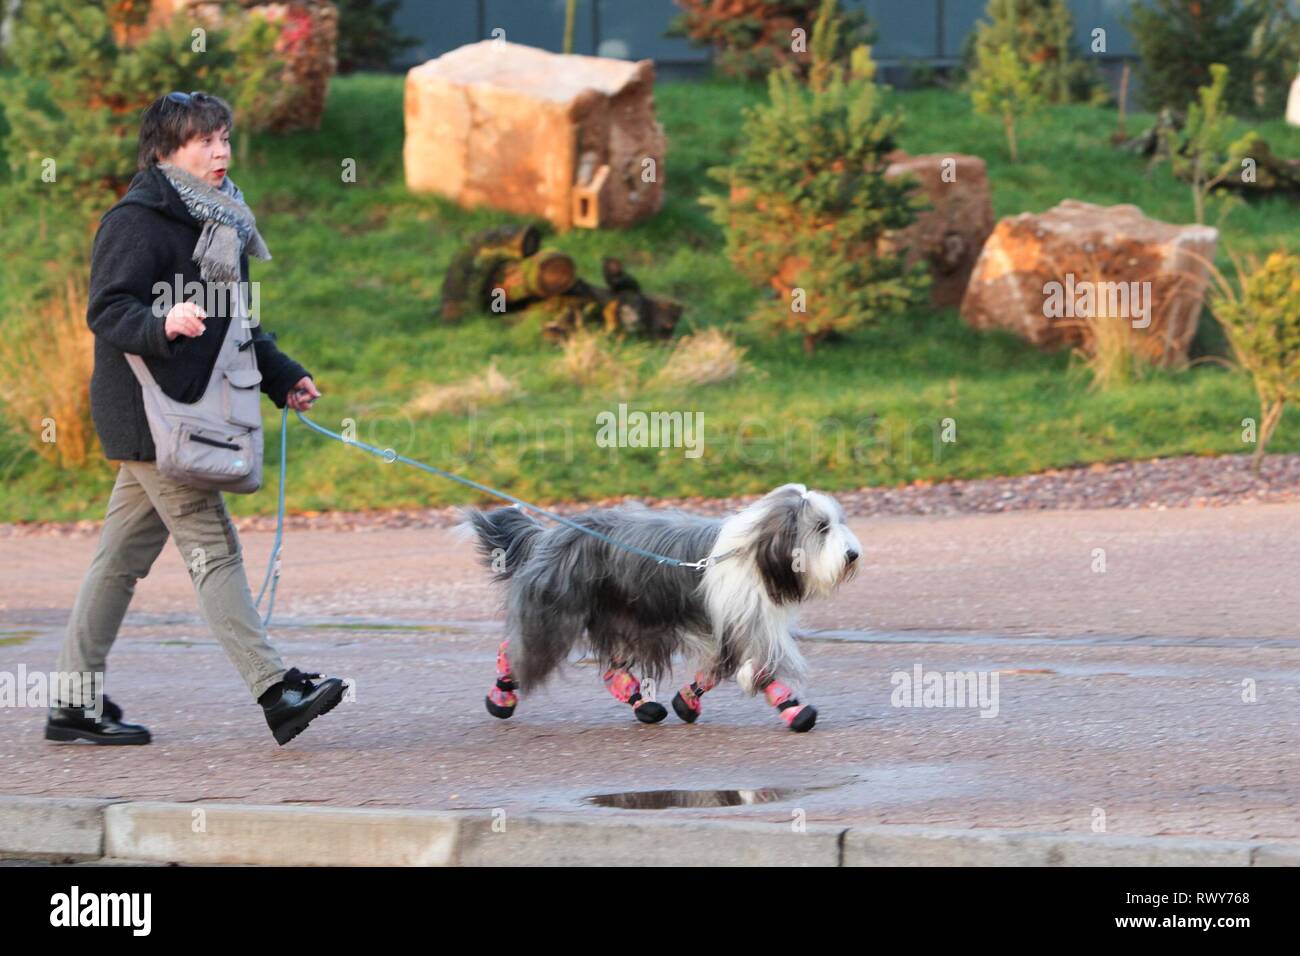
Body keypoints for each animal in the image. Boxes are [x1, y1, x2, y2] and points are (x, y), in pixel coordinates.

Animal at [462, 481, 857, 738]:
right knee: (518, 648)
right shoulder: (741, 620)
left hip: (620, 615)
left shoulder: (731, 624)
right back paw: (502, 696)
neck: (755, 553)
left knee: (614, 669)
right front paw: (795, 712)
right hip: (559, 611)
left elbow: (719, 669)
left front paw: (687, 702)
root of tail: (548, 536)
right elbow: (761, 669)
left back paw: (643, 705)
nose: (853, 554)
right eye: (821, 528)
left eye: (838, 522)